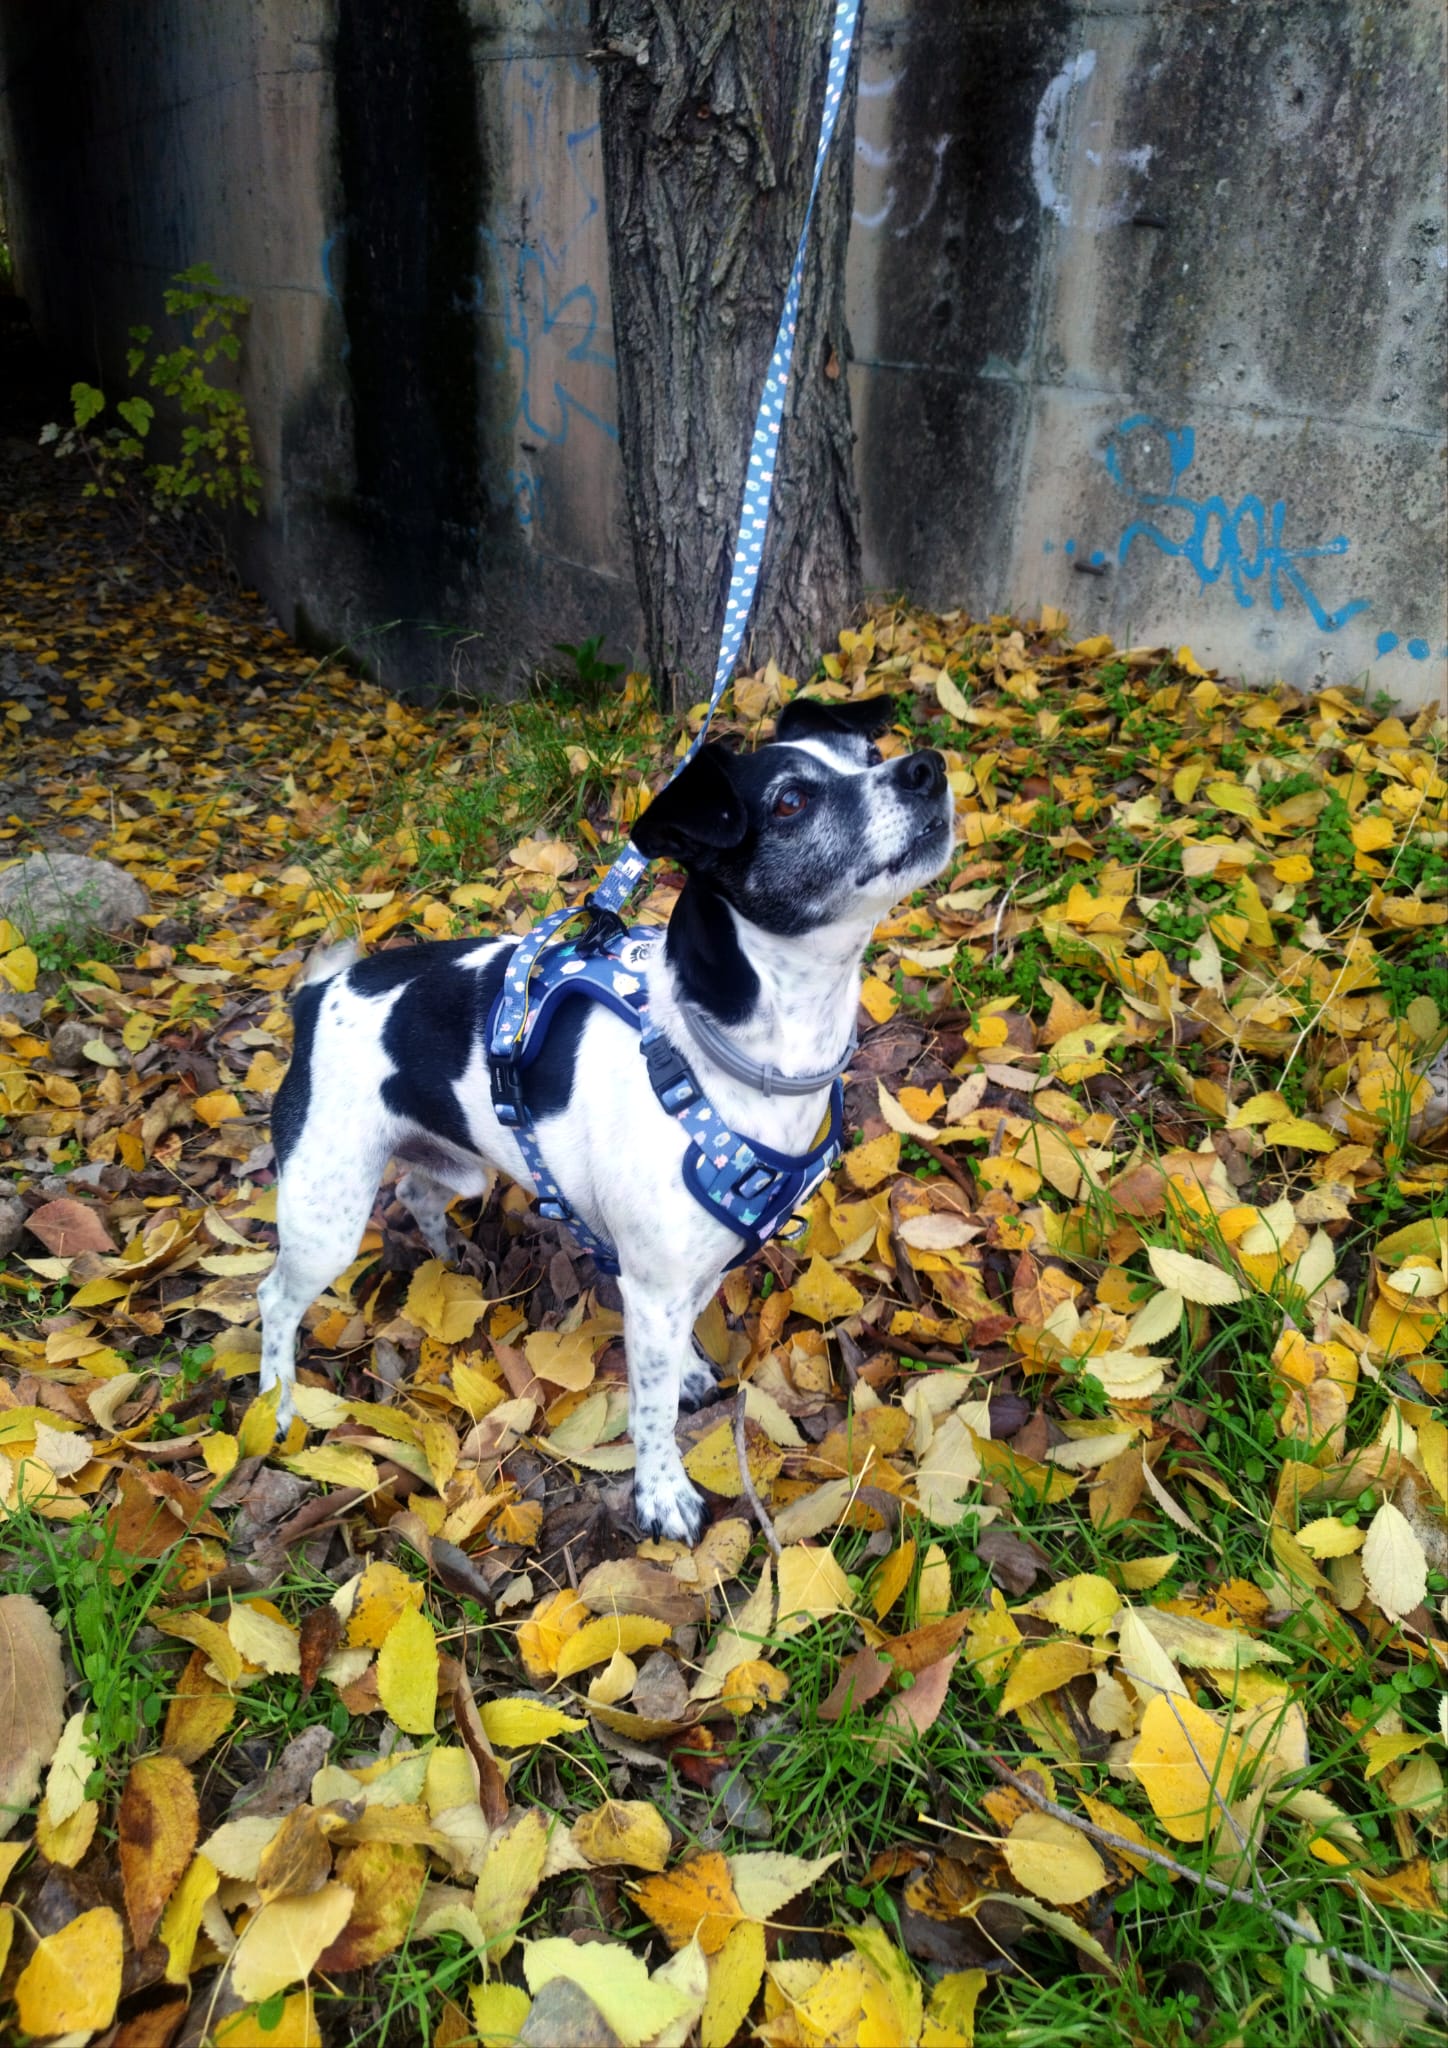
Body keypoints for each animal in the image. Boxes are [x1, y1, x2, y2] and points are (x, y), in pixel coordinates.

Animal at [257, 693, 954, 1541]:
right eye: (791, 800)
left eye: (869, 752)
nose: (925, 768)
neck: (726, 1052)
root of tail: (316, 996)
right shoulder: (651, 1286)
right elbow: (650, 1409)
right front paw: (661, 1492)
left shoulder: (689, 1271)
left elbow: (678, 1348)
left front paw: (686, 1371)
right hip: (325, 1211)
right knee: (273, 1300)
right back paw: (276, 1404)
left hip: (454, 1163)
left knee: (419, 1192)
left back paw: (451, 1261)